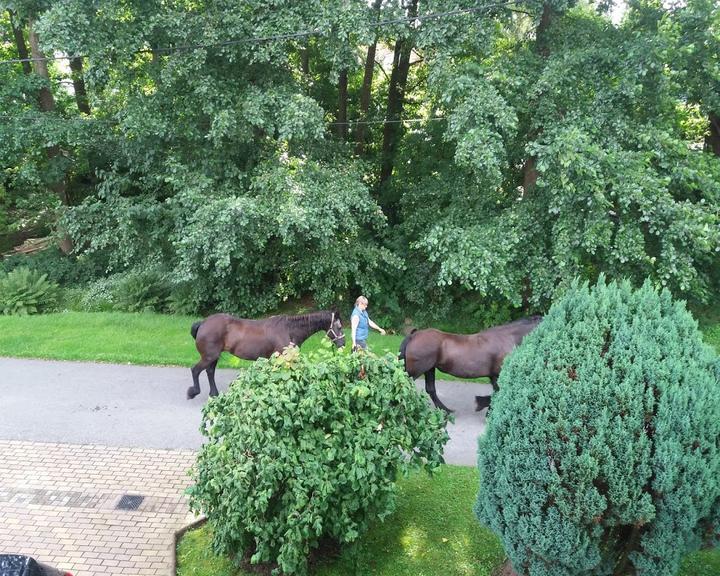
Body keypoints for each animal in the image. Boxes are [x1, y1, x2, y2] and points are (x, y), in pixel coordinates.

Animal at [188, 310, 346, 400]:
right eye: (339, 326)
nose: (343, 344)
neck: (289, 330)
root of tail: (203, 323)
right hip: (209, 356)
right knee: (195, 370)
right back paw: (193, 392)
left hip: (213, 356)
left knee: (209, 371)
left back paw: (213, 394)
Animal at [396, 318, 544, 412]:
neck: (508, 338)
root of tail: (414, 335)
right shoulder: (498, 374)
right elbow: (497, 392)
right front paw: (483, 405)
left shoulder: (493, 375)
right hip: (415, 371)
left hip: (429, 369)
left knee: (430, 389)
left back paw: (446, 410)